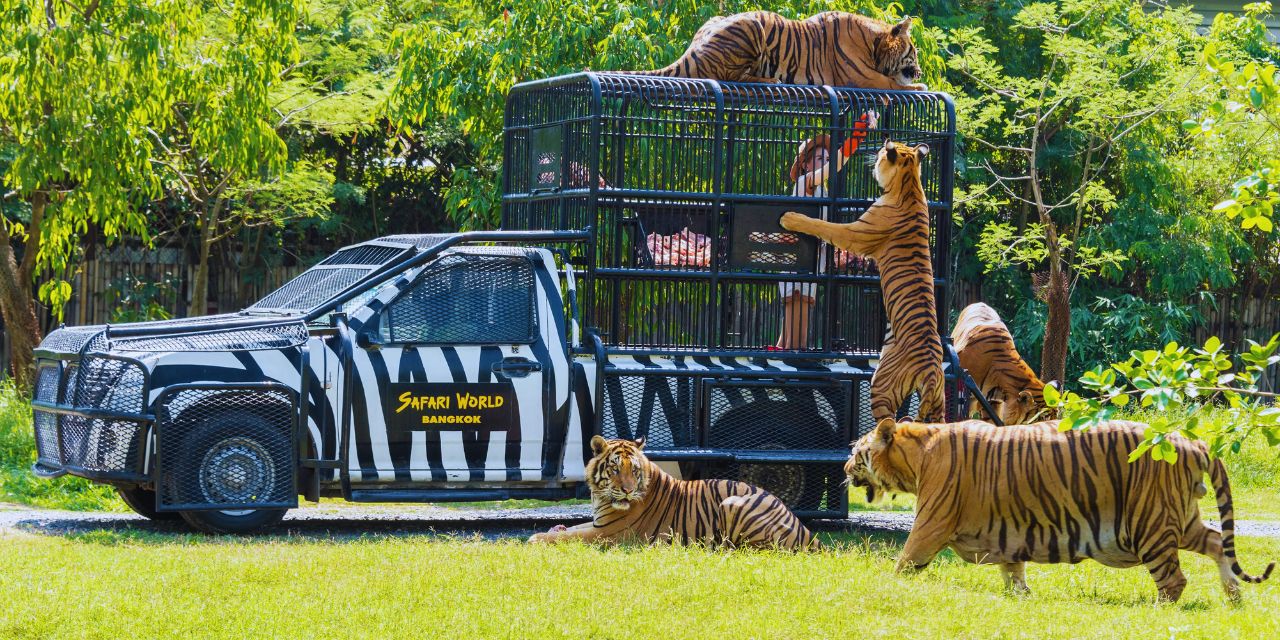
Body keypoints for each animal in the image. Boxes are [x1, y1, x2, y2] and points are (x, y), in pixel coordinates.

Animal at [527, 435, 819, 550]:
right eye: (615, 469)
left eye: (633, 470)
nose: (627, 491)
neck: (600, 496)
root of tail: (805, 530)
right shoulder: (598, 523)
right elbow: (571, 529)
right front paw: (556, 528)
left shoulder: (608, 533)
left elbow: (568, 538)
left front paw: (535, 538)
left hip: (732, 503)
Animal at [627, 11, 921, 92]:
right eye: (914, 52)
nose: (919, 72)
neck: (874, 44)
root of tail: (692, 48)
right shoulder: (861, 77)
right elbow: (893, 84)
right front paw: (920, 86)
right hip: (752, 26)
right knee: (728, 77)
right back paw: (770, 80)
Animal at [773, 137, 947, 422]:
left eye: (882, 153)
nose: (876, 151)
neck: (910, 183)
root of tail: (932, 372)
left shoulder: (855, 233)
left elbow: (824, 226)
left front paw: (791, 218)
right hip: (938, 404)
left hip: (881, 385)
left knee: (887, 420)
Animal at [844, 417, 1274, 601]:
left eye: (856, 452)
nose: (845, 469)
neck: (916, 456)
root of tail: (1191, 442)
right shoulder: (1005, 533)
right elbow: (1013, 571)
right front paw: (1022, 598)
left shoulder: (931, 523)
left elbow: (904, 561)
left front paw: (887, 585)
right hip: (1180, 520)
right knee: (1218, 543)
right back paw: (1233, 598)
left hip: (1150, 524)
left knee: (1174, 580)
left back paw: (1159, 611)